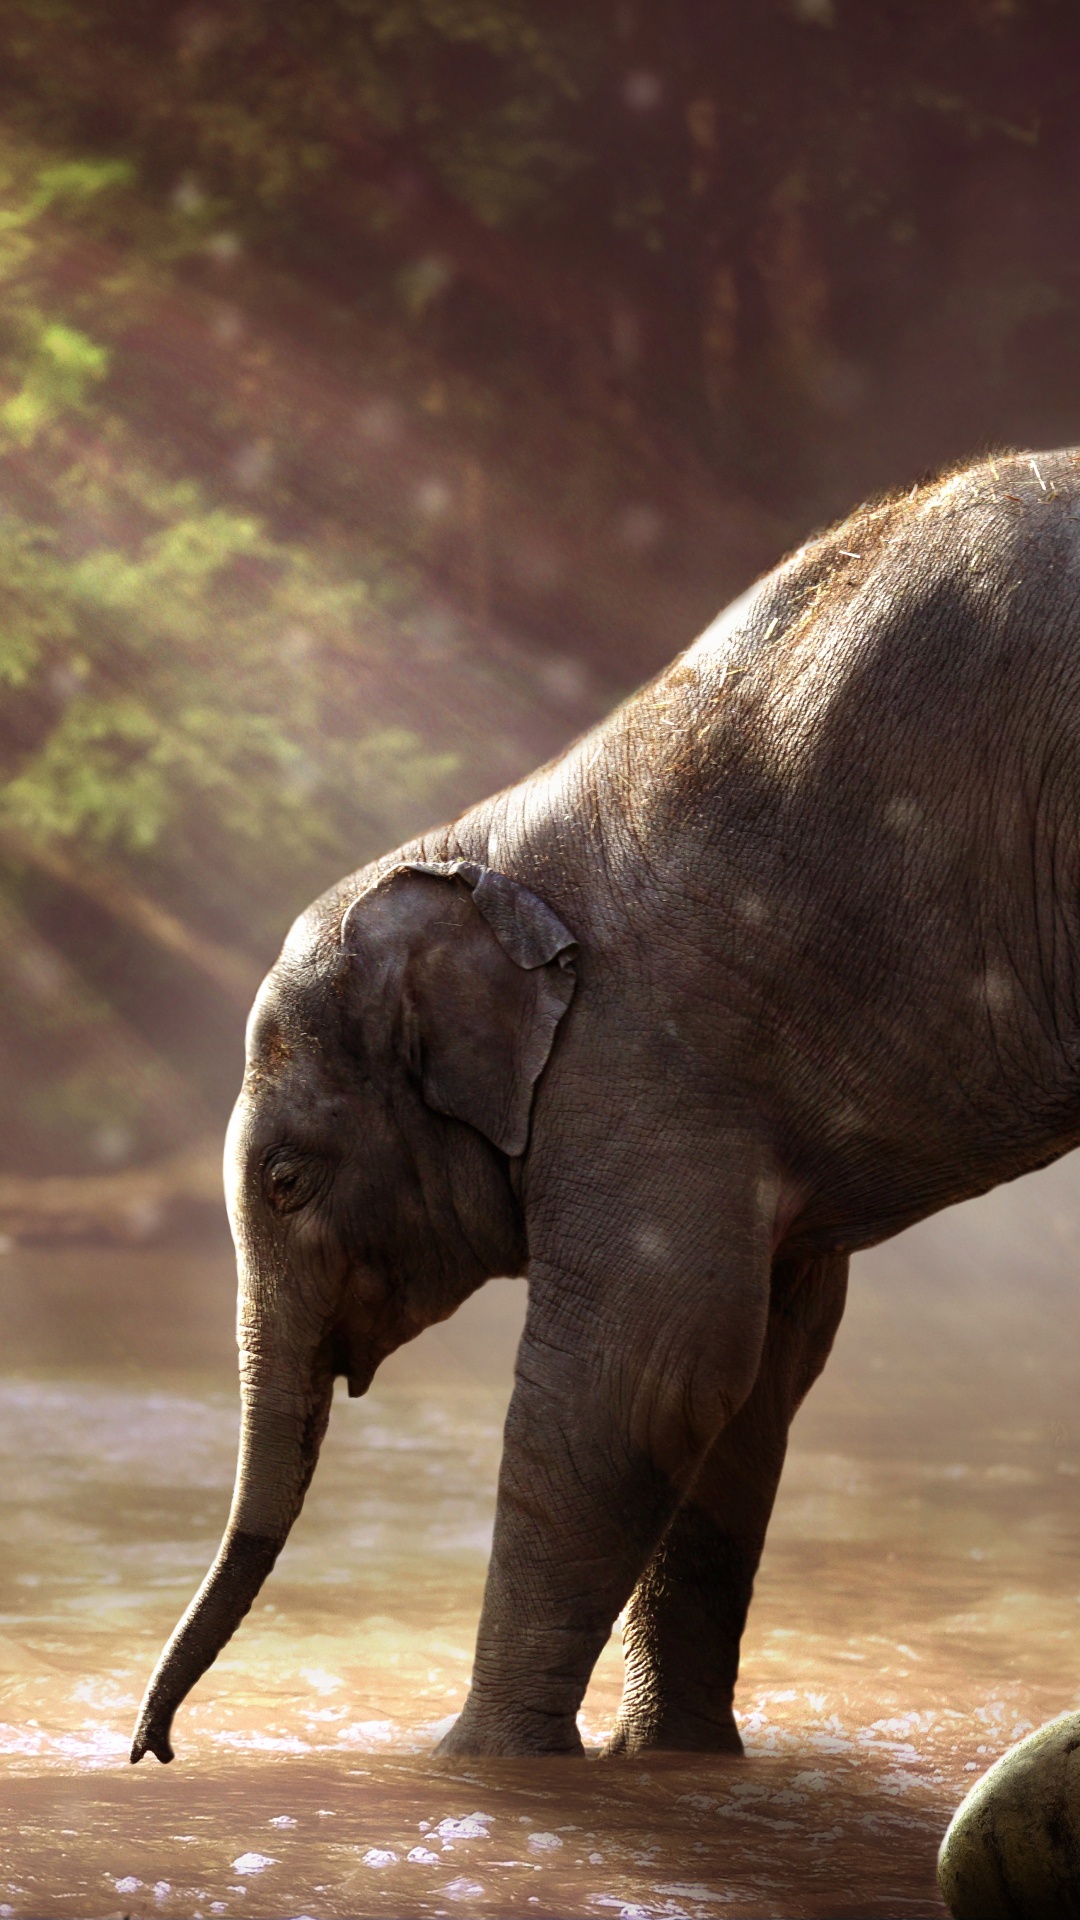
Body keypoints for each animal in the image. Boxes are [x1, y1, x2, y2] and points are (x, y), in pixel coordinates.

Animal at [131, 446, 1080, 1764]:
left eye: (285, 1180)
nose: (154, 1747)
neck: (483, 846)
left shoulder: (645, 1063)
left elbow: (644, 1371)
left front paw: (475, 1765)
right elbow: (754, 1377)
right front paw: (666, 1763)